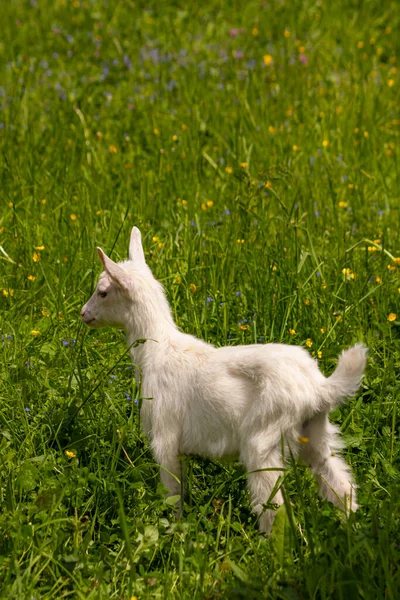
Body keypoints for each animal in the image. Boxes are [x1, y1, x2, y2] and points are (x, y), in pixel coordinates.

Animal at [80, 226, 366, 536]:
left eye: (103, 292)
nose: (83, 313)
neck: (158, 350)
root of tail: (317, 388)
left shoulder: (165, 437)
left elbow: (172, 494)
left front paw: (173, 531)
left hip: (263, 441)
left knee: (274, 508)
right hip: (316, 434)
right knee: (341, 485)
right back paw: (351, 531)